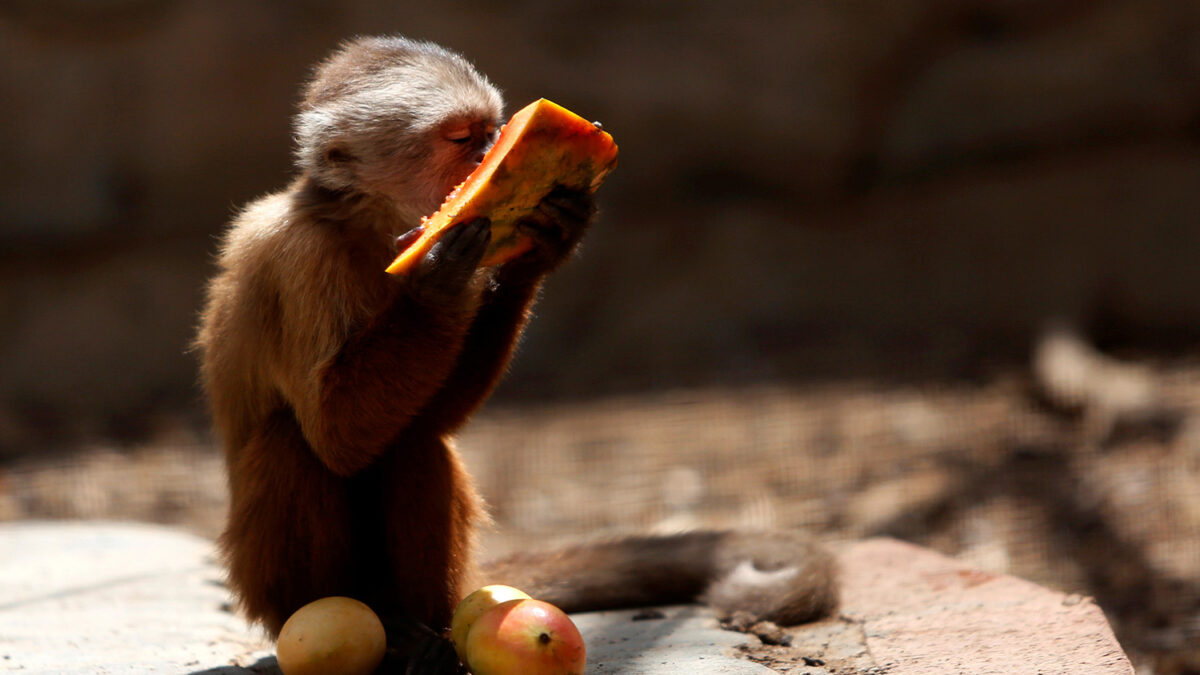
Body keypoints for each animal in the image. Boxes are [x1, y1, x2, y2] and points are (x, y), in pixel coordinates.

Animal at [196, 35, 835, 667]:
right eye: (461, 139)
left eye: (493, 130)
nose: (488, 155)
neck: (365, 223)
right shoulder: (300, 260)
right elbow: (338, 437)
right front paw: (436, 282)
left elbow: (426, 419)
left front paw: (540, 248)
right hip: (266, 592)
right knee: (294, 443)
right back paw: (381, 626)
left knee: (414, 442)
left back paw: (430, 633)